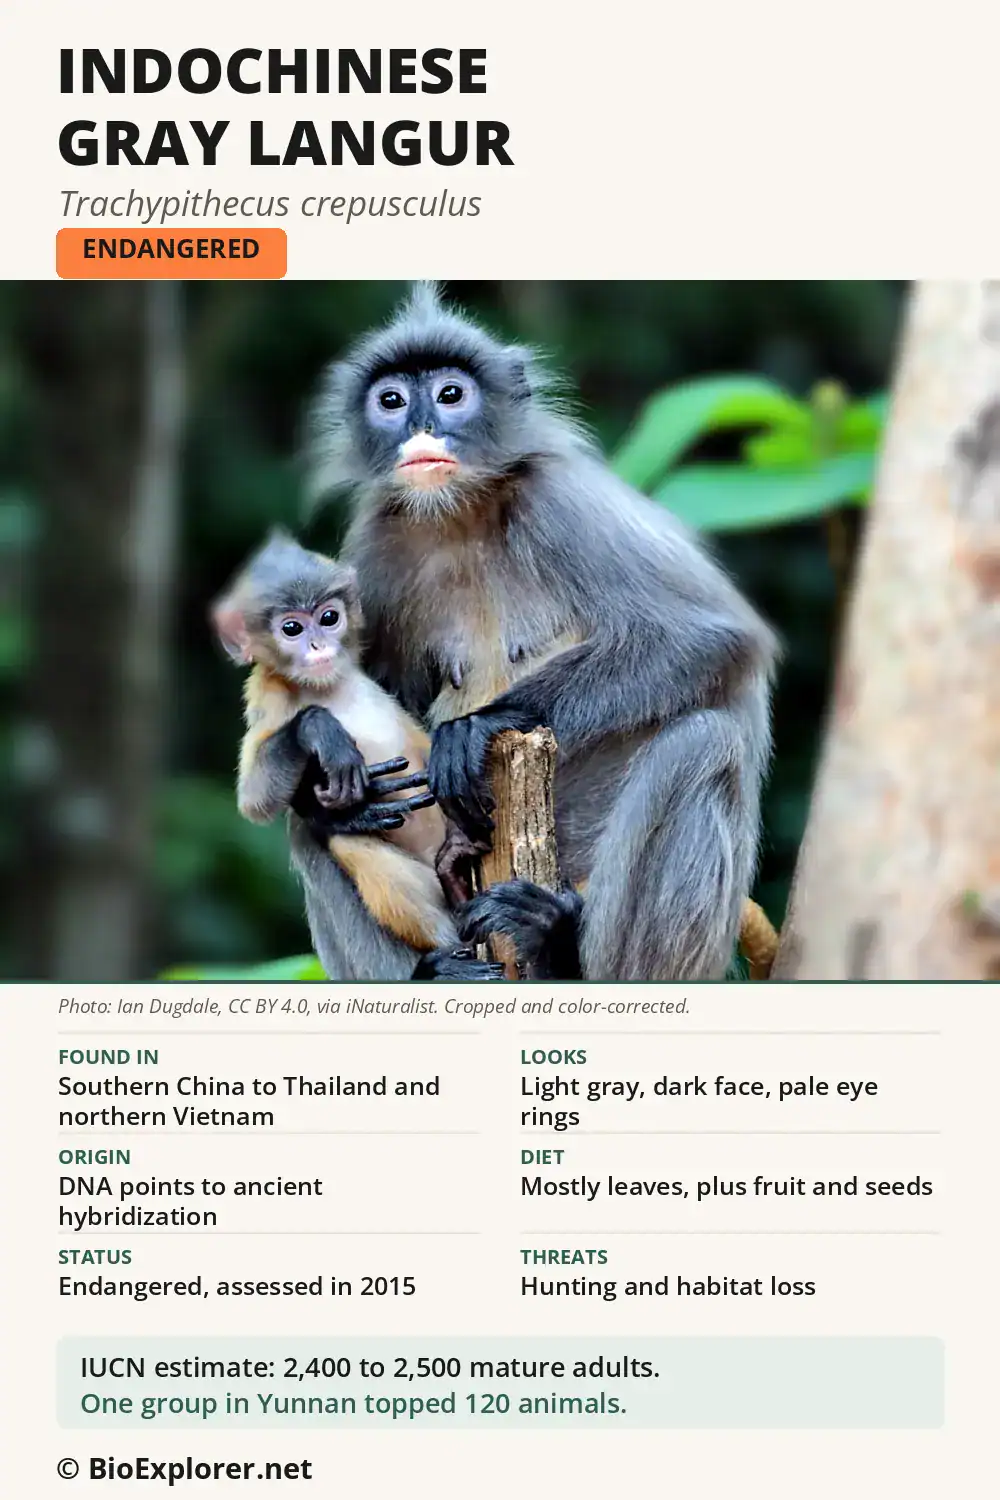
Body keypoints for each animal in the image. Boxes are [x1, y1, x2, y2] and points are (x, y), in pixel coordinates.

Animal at [211, 529, 504, 982]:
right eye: (291, 628)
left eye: (328, 617)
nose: (319, 645)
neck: (328, 687)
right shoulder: (267, 696)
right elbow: (255, 802)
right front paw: (320, 731)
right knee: (344, 841)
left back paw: (454, 869)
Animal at [302, 282, 778, 982]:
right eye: (392, 401)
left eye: (450, 394)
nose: (422, 427)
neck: (460, 515)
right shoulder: (376, 541)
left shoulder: (558, 499)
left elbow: (714, 638)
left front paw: (477, 729)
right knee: (307, 830)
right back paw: (434, 970)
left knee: (701, 743)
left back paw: (564, 949)